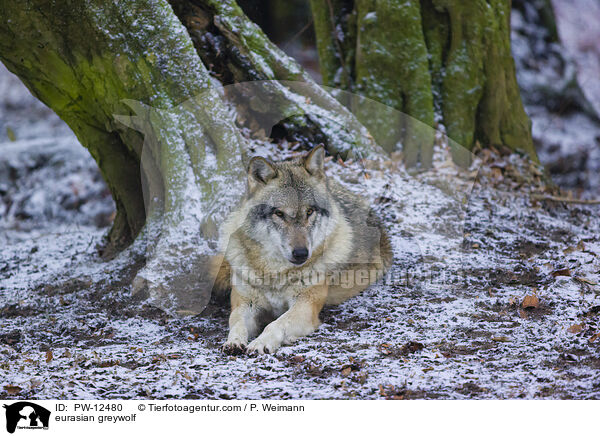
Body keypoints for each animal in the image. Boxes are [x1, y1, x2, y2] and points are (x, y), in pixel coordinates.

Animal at [212, 146, 394, 354]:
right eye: (279, 213)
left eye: (309, 212)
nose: (301, 253)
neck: (275, 274)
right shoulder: (245, 303)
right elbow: (236, 322)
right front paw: (234, 342)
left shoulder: (305, 305)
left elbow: (276, 324)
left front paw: (260, 343)